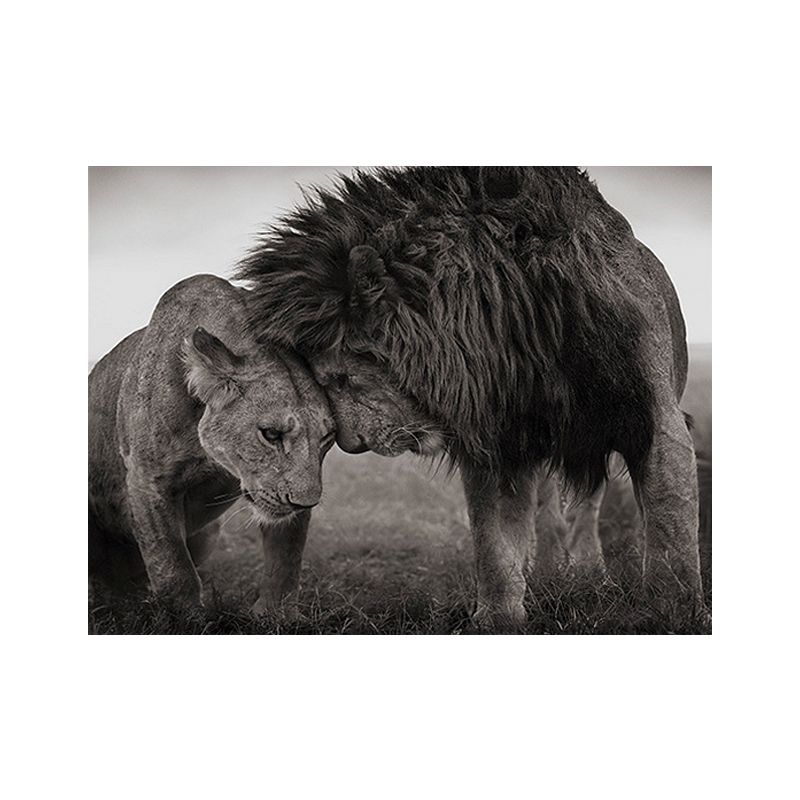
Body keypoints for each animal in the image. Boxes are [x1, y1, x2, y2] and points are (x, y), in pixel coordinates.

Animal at [88, 274, 335, 611]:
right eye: (271, 434)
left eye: (327, 437)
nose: (305, 502)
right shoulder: (147, 479)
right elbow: (173, 569)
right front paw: (185, 616)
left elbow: (285, 560)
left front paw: (275, 614)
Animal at [236, 166, 705, 629]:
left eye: (341, 378)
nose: (352, 445)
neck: (517, 330)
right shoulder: (497, 440)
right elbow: (494, 542)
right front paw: (498, 617)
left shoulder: (654, 421)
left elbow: (670, 530)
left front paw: (672, 614)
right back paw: (551, 571)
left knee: (588, 505)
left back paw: (590, 572)